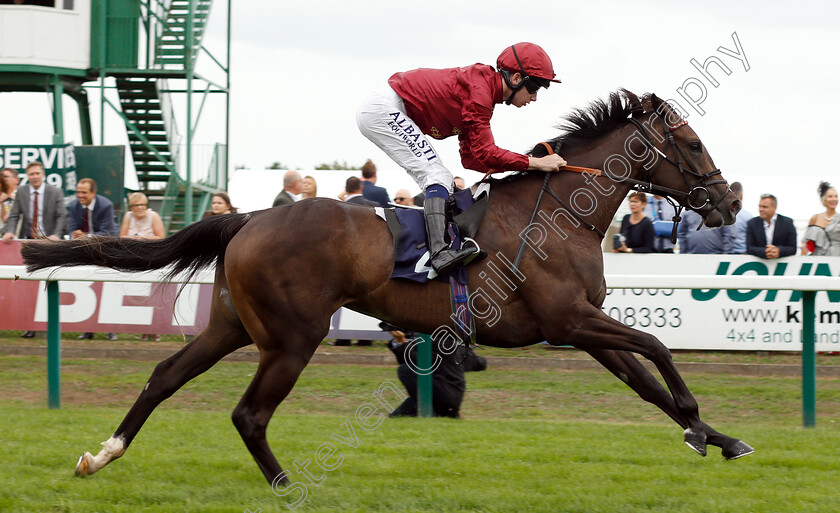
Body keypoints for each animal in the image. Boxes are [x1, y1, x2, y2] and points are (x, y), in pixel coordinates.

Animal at [21, 90, 756, 486]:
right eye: (692, 143)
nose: (727, 202)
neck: (558, 211)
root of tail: (251, 215)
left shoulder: (580, 326)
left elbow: (647, 382)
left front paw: (718, 436)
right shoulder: (568, 321)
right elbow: (658, 349)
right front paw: (699, 425)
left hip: (231, 324)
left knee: (164, 377)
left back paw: (100, 455)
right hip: (292, 336)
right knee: (248, 414)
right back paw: (287, 483)